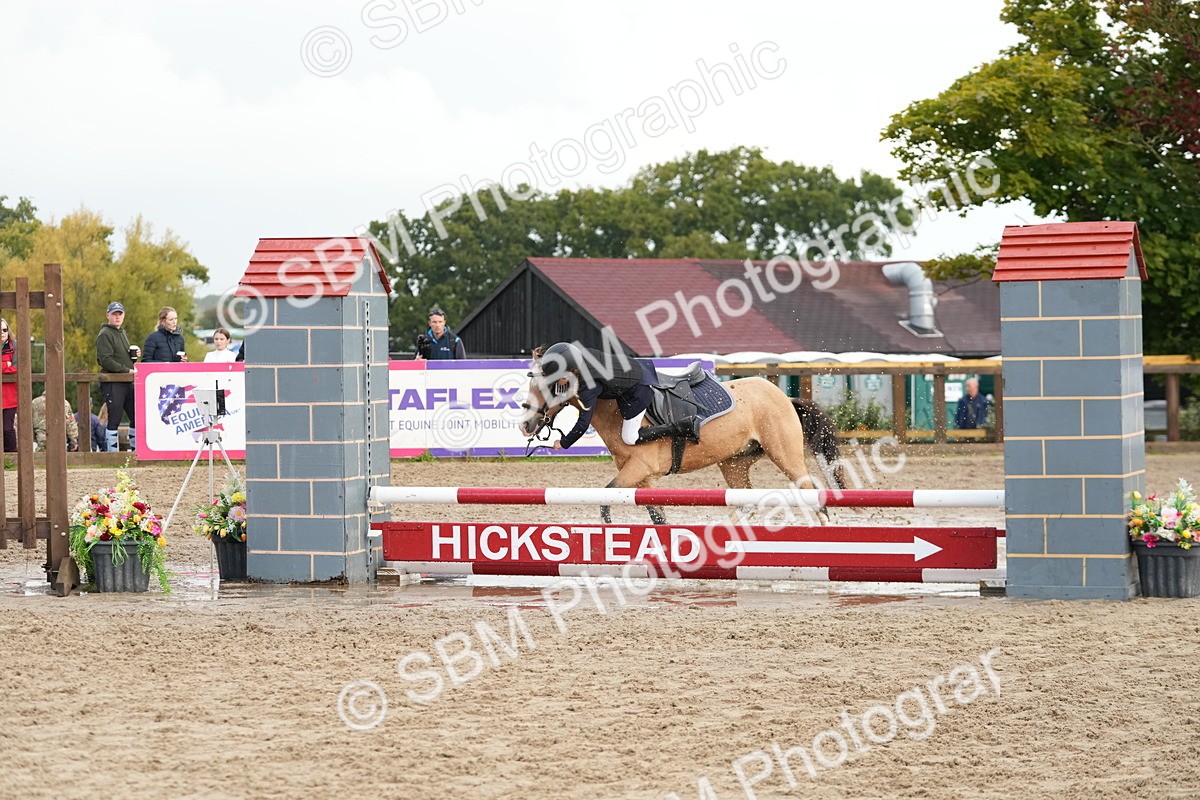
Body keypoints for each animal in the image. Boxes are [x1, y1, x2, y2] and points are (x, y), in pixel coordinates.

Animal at [519, 349, 846, 525]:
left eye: (549, 387)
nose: (525, 424)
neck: (613, 405)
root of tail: (784, 396)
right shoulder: (642, 477)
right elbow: (658, 516)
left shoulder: (638, 468)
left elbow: (606, 499)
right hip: (734, 462)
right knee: (745, 503)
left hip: (783, 454)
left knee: (810, 490)